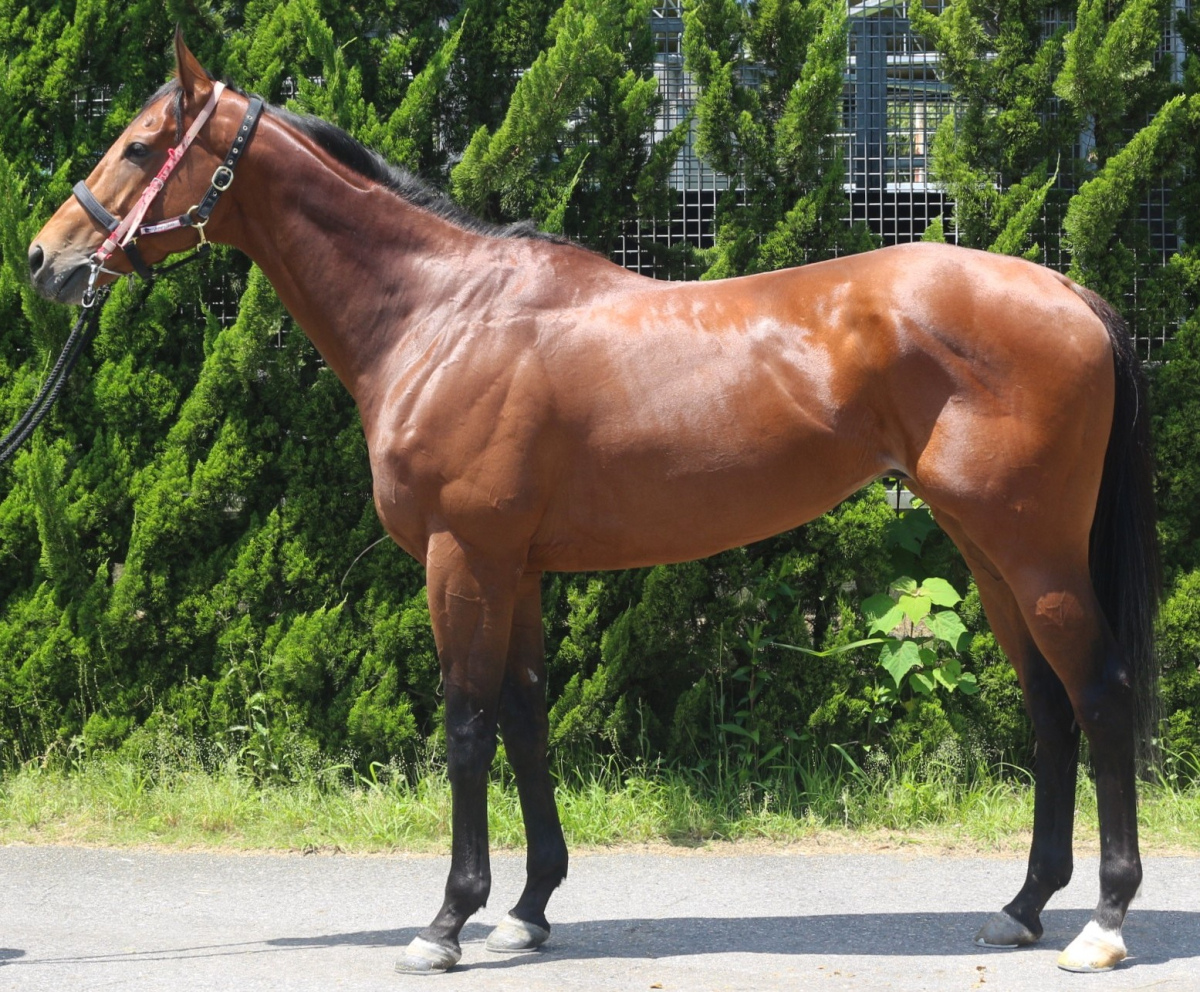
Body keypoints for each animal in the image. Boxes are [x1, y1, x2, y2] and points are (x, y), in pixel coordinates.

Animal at [28, 32, 1159, 975]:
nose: (46, 260)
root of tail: (1068, 293)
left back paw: (1102, 923)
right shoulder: (516, 567)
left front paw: (446, 920)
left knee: (1100, 695)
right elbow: (527, 720)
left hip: (1033, 549)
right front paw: (527, 910)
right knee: (1049, 706)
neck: (445, 314)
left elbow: (467, 725)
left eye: (138, 147)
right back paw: (1021, 906)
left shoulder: (463, 557)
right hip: (985, 548)